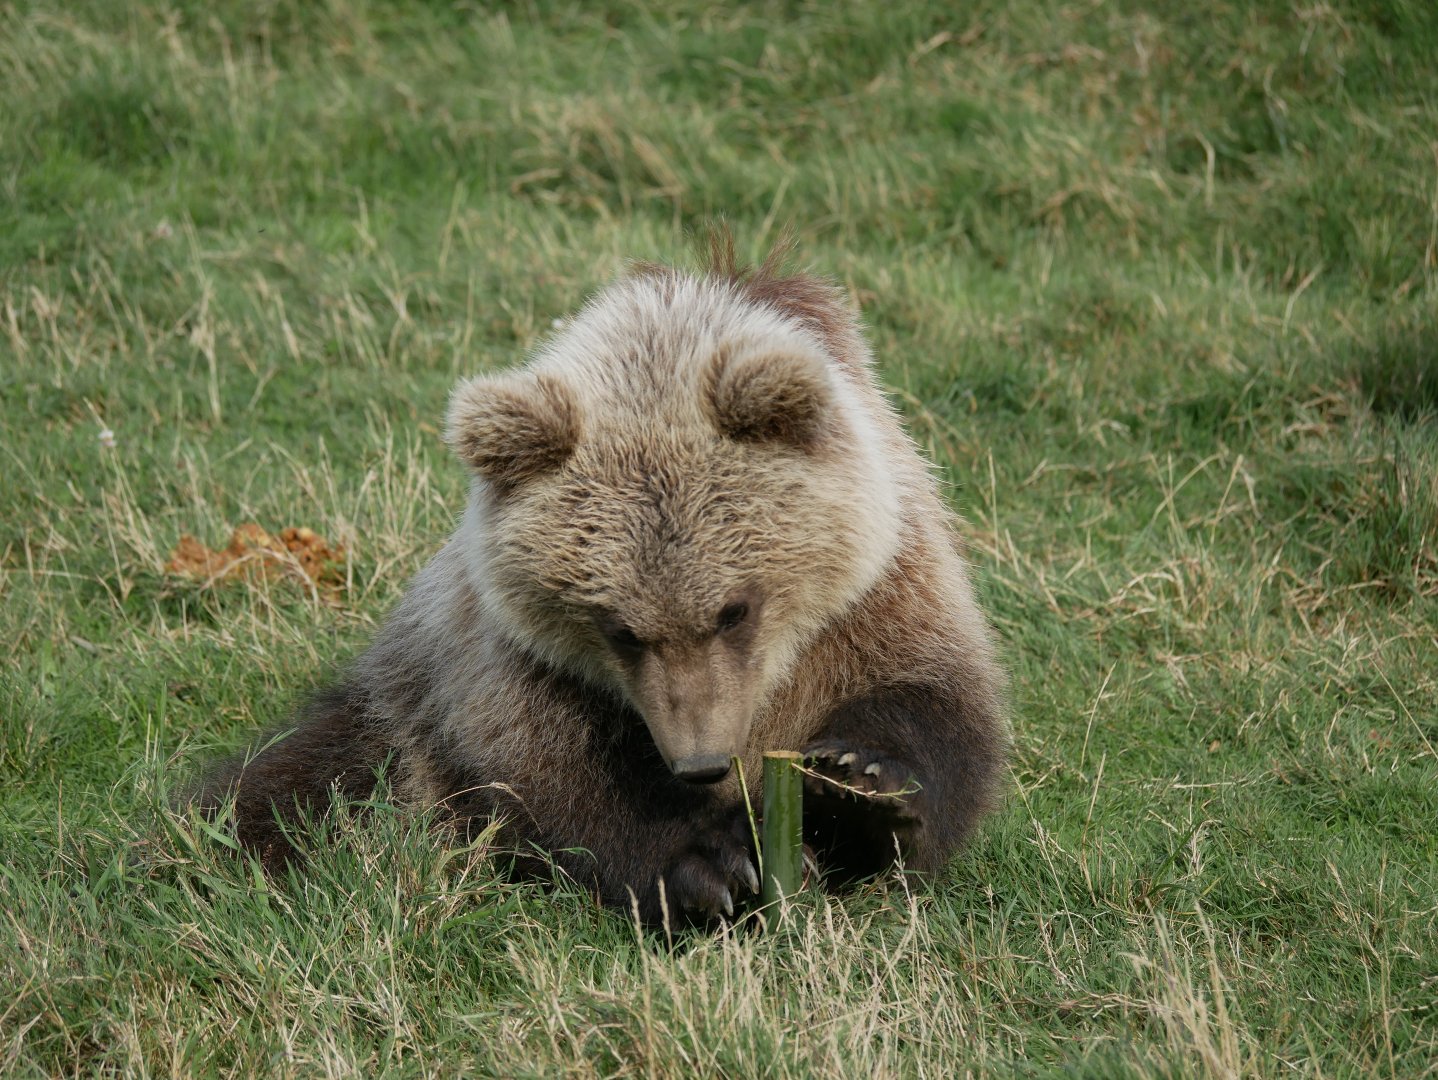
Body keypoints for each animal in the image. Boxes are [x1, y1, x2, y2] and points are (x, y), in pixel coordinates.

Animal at [191, 236, 1010, 926]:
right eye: (619, 629)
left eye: (735, 609)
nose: (701, 762)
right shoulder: (512, 663)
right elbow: (553, 772)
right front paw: (713, 866)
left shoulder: (883, 588)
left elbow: (937, 701)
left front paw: (860, 788)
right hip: (395, 728)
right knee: (301, 787)